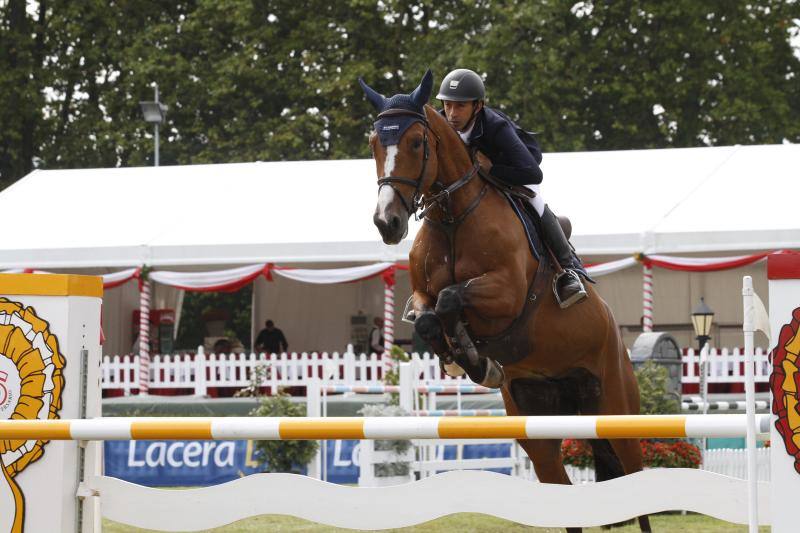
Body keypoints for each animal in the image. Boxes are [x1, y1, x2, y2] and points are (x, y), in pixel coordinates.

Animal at [360, 70, 648, 532]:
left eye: (417, 143)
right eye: (373, 143)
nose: (388, 223)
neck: (453, 216)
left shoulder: (507, 293)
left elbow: (451, 298)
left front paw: (473, 358)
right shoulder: (420, 296)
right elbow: (428, 316)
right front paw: (463, 358)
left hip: (616, 410)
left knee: (637, 486)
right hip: (538, 422)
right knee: (561, 487)